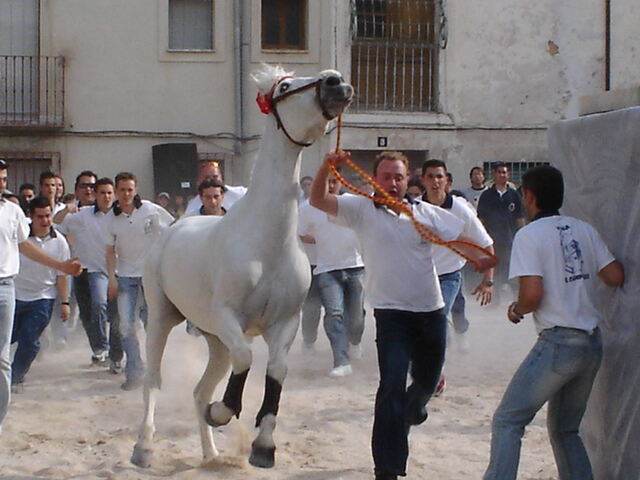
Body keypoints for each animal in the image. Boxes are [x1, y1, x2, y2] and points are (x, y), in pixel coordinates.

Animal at [130, 65, 353, 469]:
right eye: (284, 86)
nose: (335, 82)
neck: (267, 245)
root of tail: (169, 229)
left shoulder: (284, 323)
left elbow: (275, 372)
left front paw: (262, 447)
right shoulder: (228, 316)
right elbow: (247, 358)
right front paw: (223, 412)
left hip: (214, 339)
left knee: (200, 390)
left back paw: (211, 453)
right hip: (162, 317)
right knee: (153, 381)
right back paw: (144, 448)